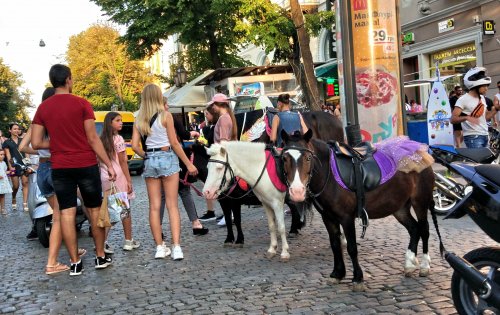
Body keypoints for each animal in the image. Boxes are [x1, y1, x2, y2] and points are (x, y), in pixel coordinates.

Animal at [280, 130, 444, 292]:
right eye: (284, 158)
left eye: (308, 158)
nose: (296, 191)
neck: (329, 175)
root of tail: (422, 153)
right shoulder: (328, 217)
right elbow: (335, 245)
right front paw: (337, 274)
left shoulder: (346, 217)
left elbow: (352, 247)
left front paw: (357, 278)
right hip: (399, 207)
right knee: (414, 229)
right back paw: (409, 264)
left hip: (420, 202)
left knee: (424, 229)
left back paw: (424, 266)